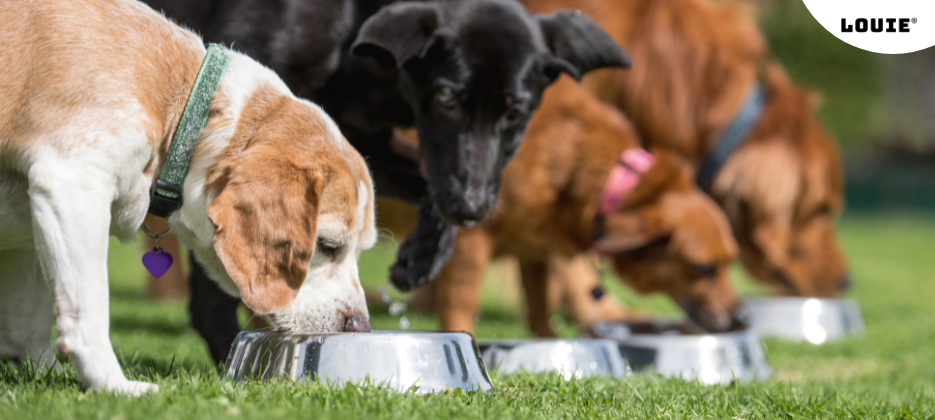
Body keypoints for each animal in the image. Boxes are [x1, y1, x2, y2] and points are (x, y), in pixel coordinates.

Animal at [0, 0, 376, 396]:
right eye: (328, 245)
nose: (360, 327)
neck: (185, 103)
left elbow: (26, 322)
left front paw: (44, 371)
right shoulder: (72, 182)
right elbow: (89, 309)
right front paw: (112, 385)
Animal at [146, 0, 628, 362]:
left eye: (516, 112)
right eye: (446, 99)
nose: (472, 207)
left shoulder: (363, 140)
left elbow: (425, 183)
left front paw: (424, 255)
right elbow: (218, 281)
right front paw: (226, 346)